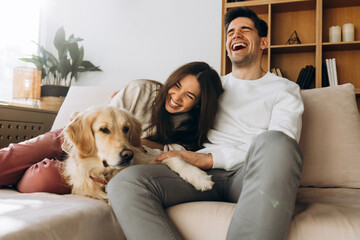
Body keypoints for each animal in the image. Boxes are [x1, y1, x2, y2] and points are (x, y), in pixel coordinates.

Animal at [61, 105, 214, 201]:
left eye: (126, 128)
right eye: (104, 129)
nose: (128, 154)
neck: (105, 173)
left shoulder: (150, 157)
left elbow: (172, 158)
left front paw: (199, 178)